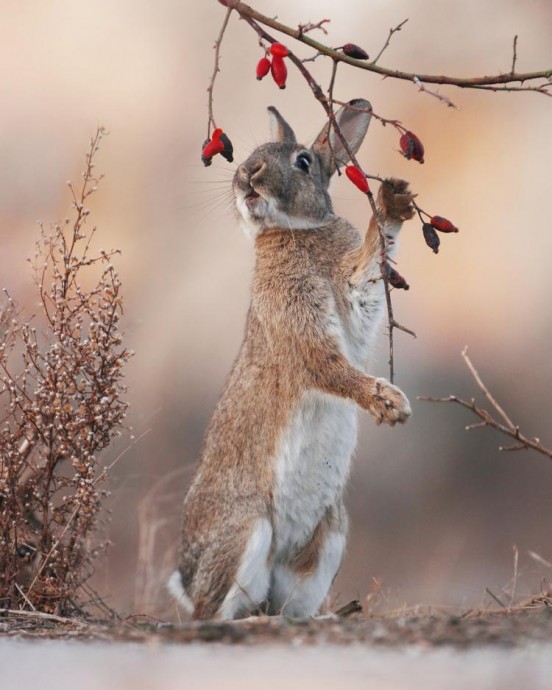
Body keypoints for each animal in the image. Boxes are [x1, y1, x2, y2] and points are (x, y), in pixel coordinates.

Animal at [169, 99, 414, 620]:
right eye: (254, 153)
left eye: (303, 161)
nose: (248, 172)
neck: (294, 231)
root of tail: (186, 578)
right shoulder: (300, 324)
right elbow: (327, 366)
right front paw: (390, 403)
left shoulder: (352, 302)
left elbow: (367, 275)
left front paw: (395, 202)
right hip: (246, 532)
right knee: (215, 615)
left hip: (329, 538)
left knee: (285, 607)